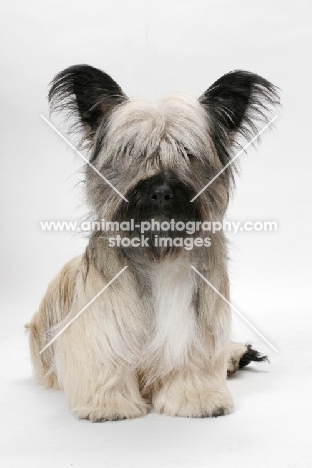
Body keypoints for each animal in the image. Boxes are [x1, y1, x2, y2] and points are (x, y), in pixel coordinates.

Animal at [26, 66, 280, 420]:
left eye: (188, 153)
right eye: (132, 151)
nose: (161, 192)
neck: (159, 249)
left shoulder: (198, 327)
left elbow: (194, 361)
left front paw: (197, 397)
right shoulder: (101, 322)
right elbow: (106, 358)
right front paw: (108, 403)